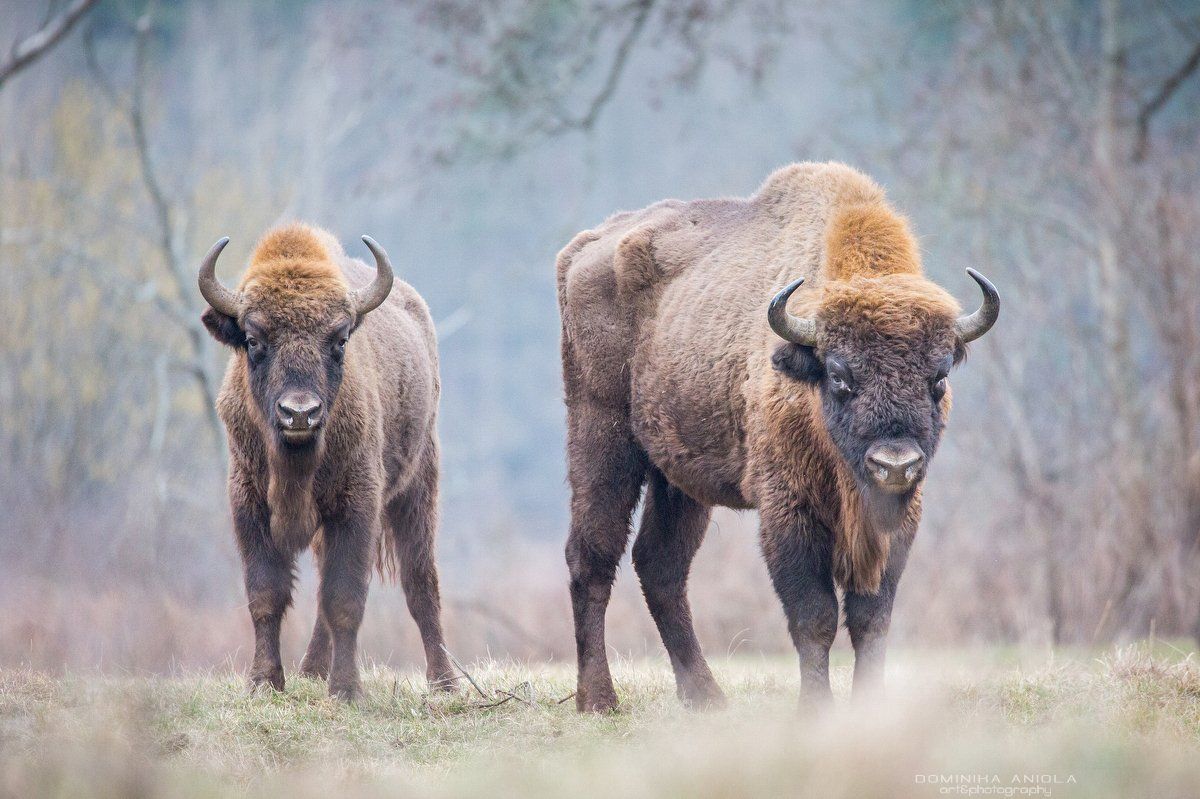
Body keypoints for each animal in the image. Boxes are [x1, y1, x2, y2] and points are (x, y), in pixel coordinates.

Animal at [198, 224, 453, 701]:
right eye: (253, 340)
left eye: (339, 340)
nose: (300, 413)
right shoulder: (248, 503)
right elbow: (266, 593)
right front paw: (264, 683)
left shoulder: (357, 506)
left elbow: (344, 599)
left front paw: (347, 690)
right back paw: (312, 669)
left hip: (417, 488)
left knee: (420, 582)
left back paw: (444, 681)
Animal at [556, 162, 999, 711]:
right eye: (839, 374)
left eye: (938, 377)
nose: (894, 464)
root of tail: (584, 249)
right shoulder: (788, 511)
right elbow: (815, 617)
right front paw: (815, 709)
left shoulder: (897, 523)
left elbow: (871, 619)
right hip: (601, 436)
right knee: (593, 557)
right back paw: (599, 699)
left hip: (677, 477)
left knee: (659, 565)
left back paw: (705, 697)